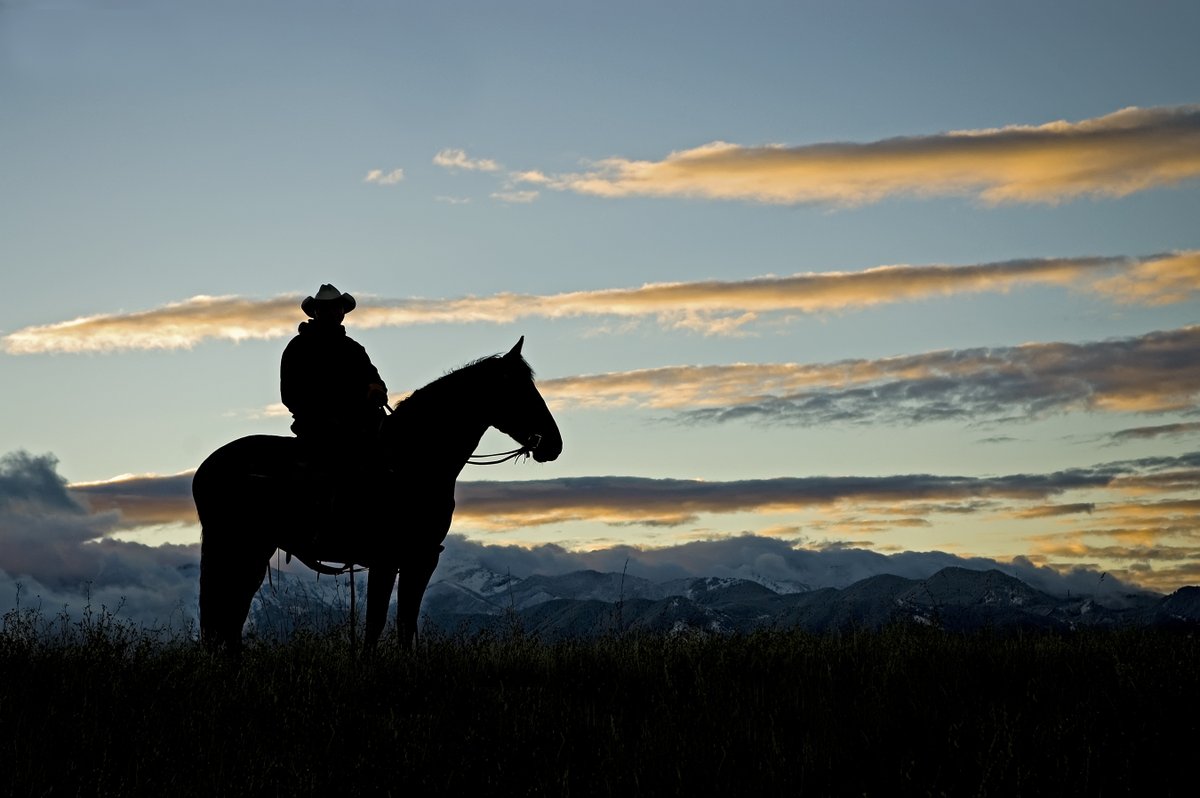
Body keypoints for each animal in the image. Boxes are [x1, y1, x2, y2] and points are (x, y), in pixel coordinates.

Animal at [192, 333, 561, 652]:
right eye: (519, 390)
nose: (554, 445)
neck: (411, 461)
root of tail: (205, 469)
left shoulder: (420, 557)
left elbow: (404, 623)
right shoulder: (388, 558)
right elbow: (378, 622)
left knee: (230, 612)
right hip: (239, 545)